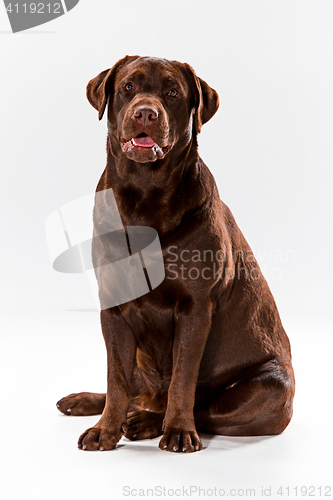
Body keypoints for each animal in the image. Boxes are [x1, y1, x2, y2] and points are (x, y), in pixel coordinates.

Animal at [56, 55, 294, 454]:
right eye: (128, 87)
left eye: (172, 92)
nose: (146, 113)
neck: (144, 195)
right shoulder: (113, 307)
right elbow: (116, 378)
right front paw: (105, 430)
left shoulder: (195, 307)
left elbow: (183, 378)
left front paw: (178, 432)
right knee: (132, 389)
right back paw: (89, 402)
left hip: (272, 384)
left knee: (203, 408)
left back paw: (149, 422)